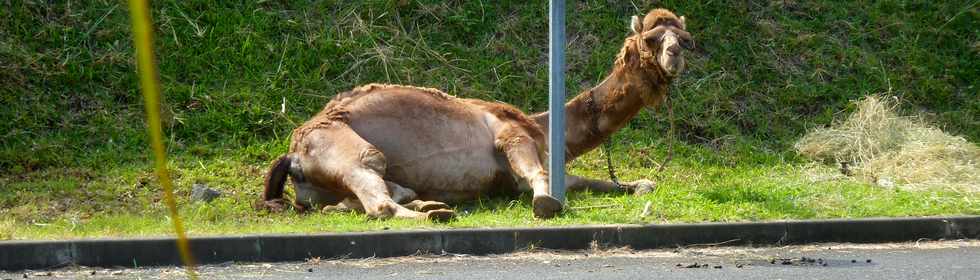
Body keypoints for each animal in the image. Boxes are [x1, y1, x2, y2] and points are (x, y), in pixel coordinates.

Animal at [256, 8, 692, 221]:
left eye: (686, 39)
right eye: (652, 39)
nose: (674, 55)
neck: (545, 124)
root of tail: (293, 155)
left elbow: (592, 180)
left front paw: (640, 183)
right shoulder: (511, 136)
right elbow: (539, 176)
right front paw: (546, 204)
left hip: (322, 185)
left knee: (357, 200)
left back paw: (429, 205)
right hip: (341, 146)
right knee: (376, 197)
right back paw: (433, 214)